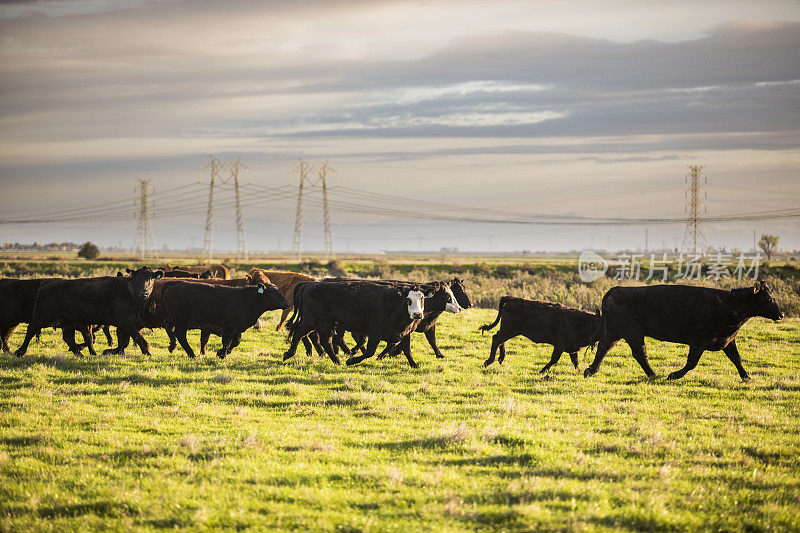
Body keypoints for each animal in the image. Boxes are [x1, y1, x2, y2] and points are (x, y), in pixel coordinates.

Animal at [13, 266, 162, 358]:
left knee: (68, 337)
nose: (143, 292)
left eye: (150, 278)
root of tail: (47, 283)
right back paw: (20, 351)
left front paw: (110, 351)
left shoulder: (129, 323)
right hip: (41, 317)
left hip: (68, 321)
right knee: (31, 330)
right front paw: (147, 352)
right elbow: (137, 338)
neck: (130, 292)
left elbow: (125, 341)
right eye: (137, 278)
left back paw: (80, 353)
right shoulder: (125, 321)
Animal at [284, 282, 428, 366]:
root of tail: (308, 285)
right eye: (408, 299)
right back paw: (336, 361)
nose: (417, 315)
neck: (393, 304)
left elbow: (406, 349)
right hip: (320, 322)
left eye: (422, 298)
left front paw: (414, 364)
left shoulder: (405, 332)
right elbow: (369, 352)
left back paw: (290, 353)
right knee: (318, 339)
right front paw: (351, 360)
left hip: (315, 322)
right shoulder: (374, 332)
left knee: (301, 333)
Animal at [584, 280, 784, 380]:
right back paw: (653, 375)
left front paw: (746, 377)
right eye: (766, 299)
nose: (781, 314)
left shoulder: (728, 340)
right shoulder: (698, 342)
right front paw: (674, 375)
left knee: (603, 348)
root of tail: (616, 290)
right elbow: (691, 363)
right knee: (639, 353)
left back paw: (591, 370)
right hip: (632, 333)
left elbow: (737, 359)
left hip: (615, 331)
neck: (727, 305)